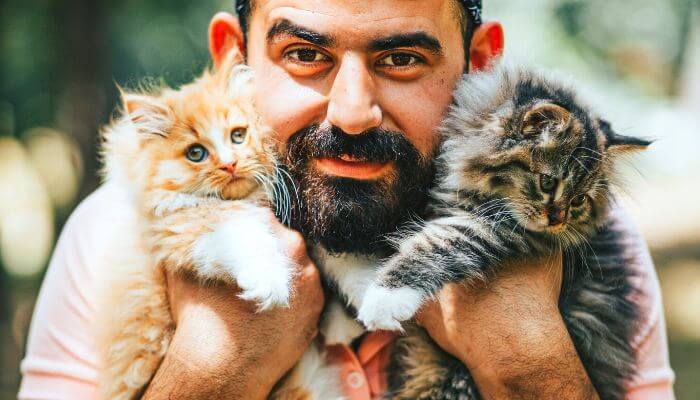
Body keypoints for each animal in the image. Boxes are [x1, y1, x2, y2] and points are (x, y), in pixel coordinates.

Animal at [356, 64, 652, 398]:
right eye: (548, 182)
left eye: (578, 200)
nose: (557, 220)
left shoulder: (491, 229)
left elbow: (433, 245)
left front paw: (383, 300)